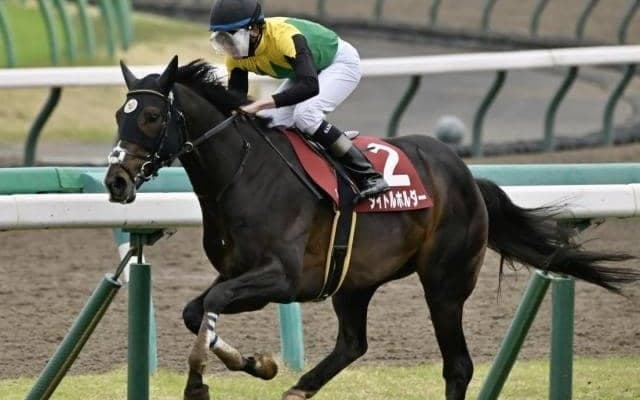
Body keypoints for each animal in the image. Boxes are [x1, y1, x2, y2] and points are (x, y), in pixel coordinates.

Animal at [104, 56, 639, 400]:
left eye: (151, 115)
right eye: (117, 114)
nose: (115, 180)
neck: (245, 173)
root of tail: (467, 174)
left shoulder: (281, 278)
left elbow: (209, 306)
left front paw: (200, 383)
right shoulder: (242, 274)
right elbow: (196, 311)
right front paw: (257, 364)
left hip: (444, 283)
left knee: (458, 366)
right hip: (353, 280)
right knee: (352, 343)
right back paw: (298, 390)